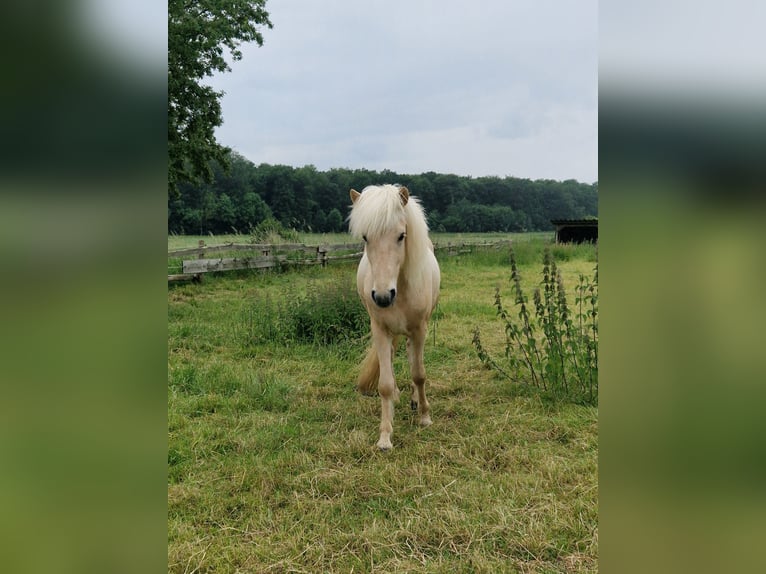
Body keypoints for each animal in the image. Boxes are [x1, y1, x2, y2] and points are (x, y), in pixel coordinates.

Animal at [350, 187, 444, 452]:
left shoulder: (419, 329)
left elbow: (419, 374)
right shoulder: (380, 330)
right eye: (365, 237)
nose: (382, 297)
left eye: (402, 236)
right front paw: (385, 436)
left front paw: (424, 416)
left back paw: (414, 400)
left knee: (413, 357)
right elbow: (384, 383)